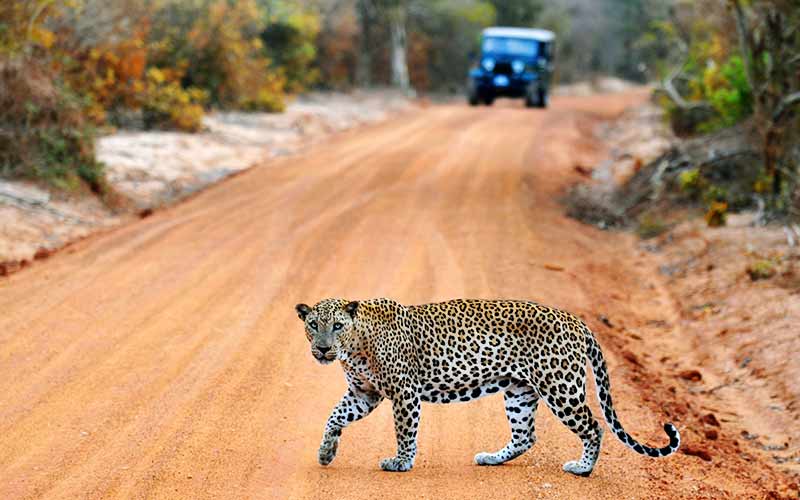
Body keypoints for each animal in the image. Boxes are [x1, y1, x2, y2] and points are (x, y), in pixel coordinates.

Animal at [294, 296, 680, 476]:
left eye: (337, 325)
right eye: (313, 325)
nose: (323, 348)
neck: (356, 346)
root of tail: (576, 320)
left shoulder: (404, 392)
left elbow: (405, 431)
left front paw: (401, 462)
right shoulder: (364, 394)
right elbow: (334, 417)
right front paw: (326, 452)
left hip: (560, 387)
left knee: (594, 426)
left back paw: (582, 468)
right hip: (519, 391)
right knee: (526, 436)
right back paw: (492, 458)